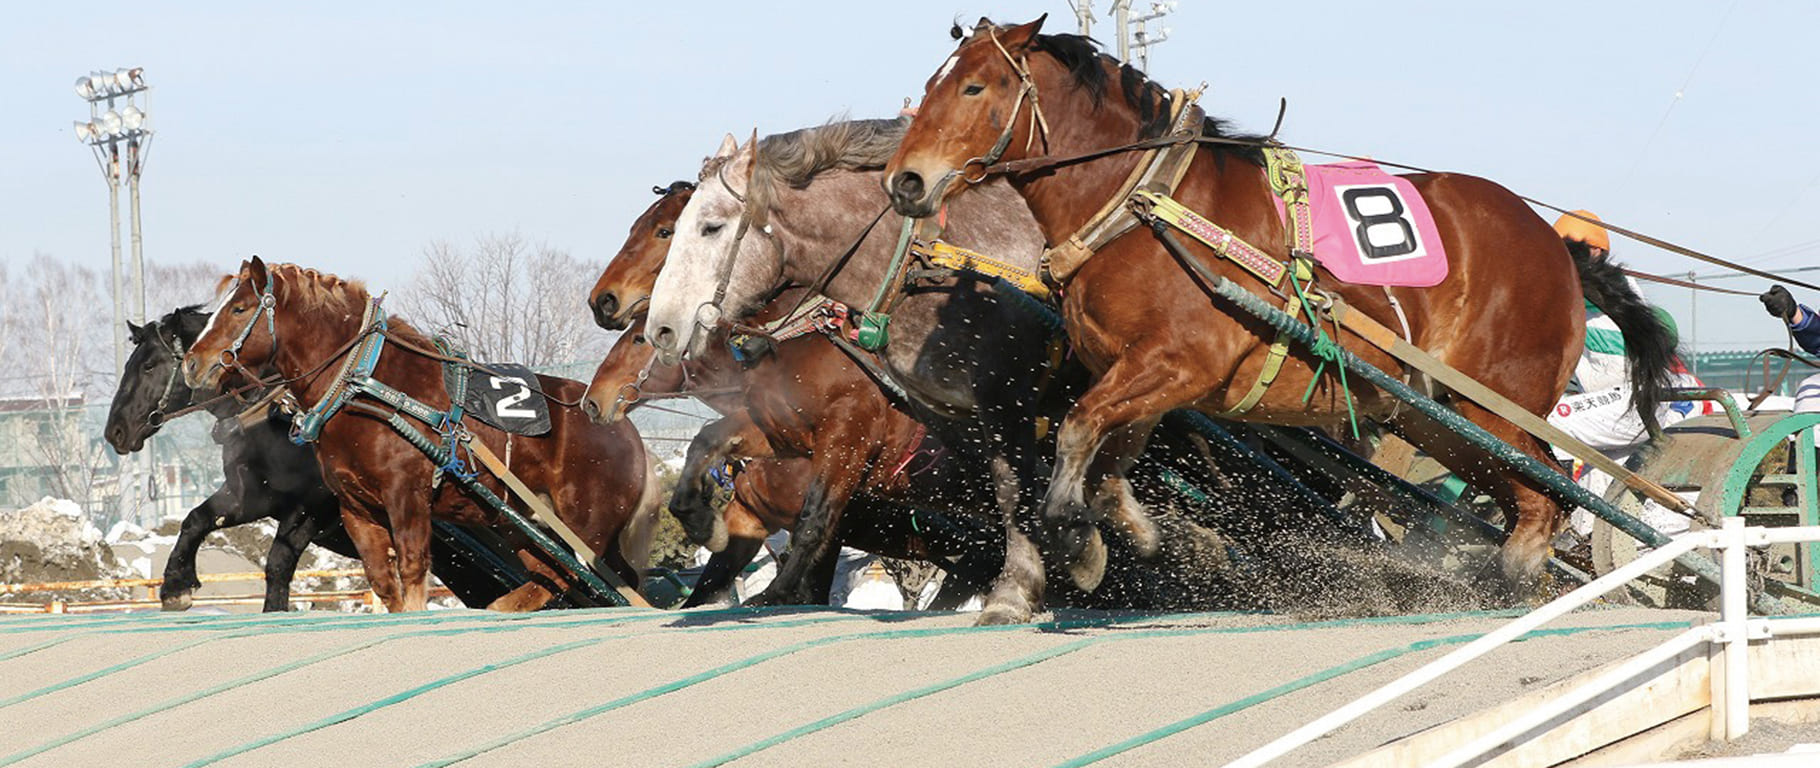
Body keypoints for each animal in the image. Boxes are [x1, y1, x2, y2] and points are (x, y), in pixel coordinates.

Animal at [103, 307, 525, 611]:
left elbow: (277, 563)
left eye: (149, 365)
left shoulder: (316, 505)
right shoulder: (253, 495)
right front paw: (176, 586)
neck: (275, 416)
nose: (115, 432)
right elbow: (197, 519)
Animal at [181, 259, 661, 612]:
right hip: (522, 525)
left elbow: (412, 574)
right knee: (569, 577)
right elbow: (384, 582)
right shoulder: (357, 508)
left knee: (574, 576)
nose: (192, 362)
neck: (366, 385)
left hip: (585, 529)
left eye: (239, 309)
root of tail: (624, 429)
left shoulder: (406, 499)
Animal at [882, 17, 1677, 592]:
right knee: (1528, 499)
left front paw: (1069, 533)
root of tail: (1556, 248)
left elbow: (1078, 430)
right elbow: (1108, 465)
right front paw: (1137, 535)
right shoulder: (1141, 379)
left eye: (975, 88)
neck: (1146, 205)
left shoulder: (1178, 363)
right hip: (1436, 416)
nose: (905, 182)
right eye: (932, 83)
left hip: (1495, 405)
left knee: (1550, 496)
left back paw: (1515, 579)